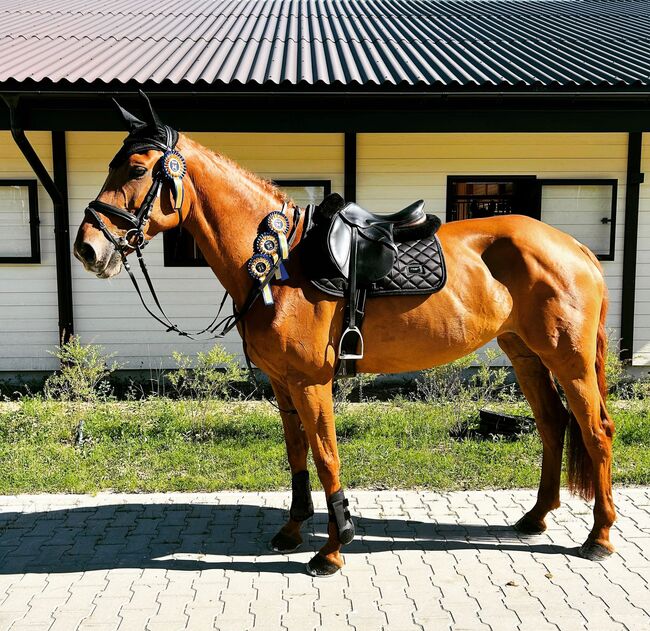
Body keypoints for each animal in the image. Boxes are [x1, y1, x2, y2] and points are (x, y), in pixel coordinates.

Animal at [74, 111, 612, 576]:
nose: (87, 248)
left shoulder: (312, 382)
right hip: (526, 354)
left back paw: (599, 537)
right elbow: (297, 455)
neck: (280, 261)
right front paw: (292, 530)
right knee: (553, 425)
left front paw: (333, 549)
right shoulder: (282, 383)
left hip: (569, 360)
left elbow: (326, 456)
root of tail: (575, 247)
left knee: (595, 431)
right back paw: (536, 517)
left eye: (137, 169)